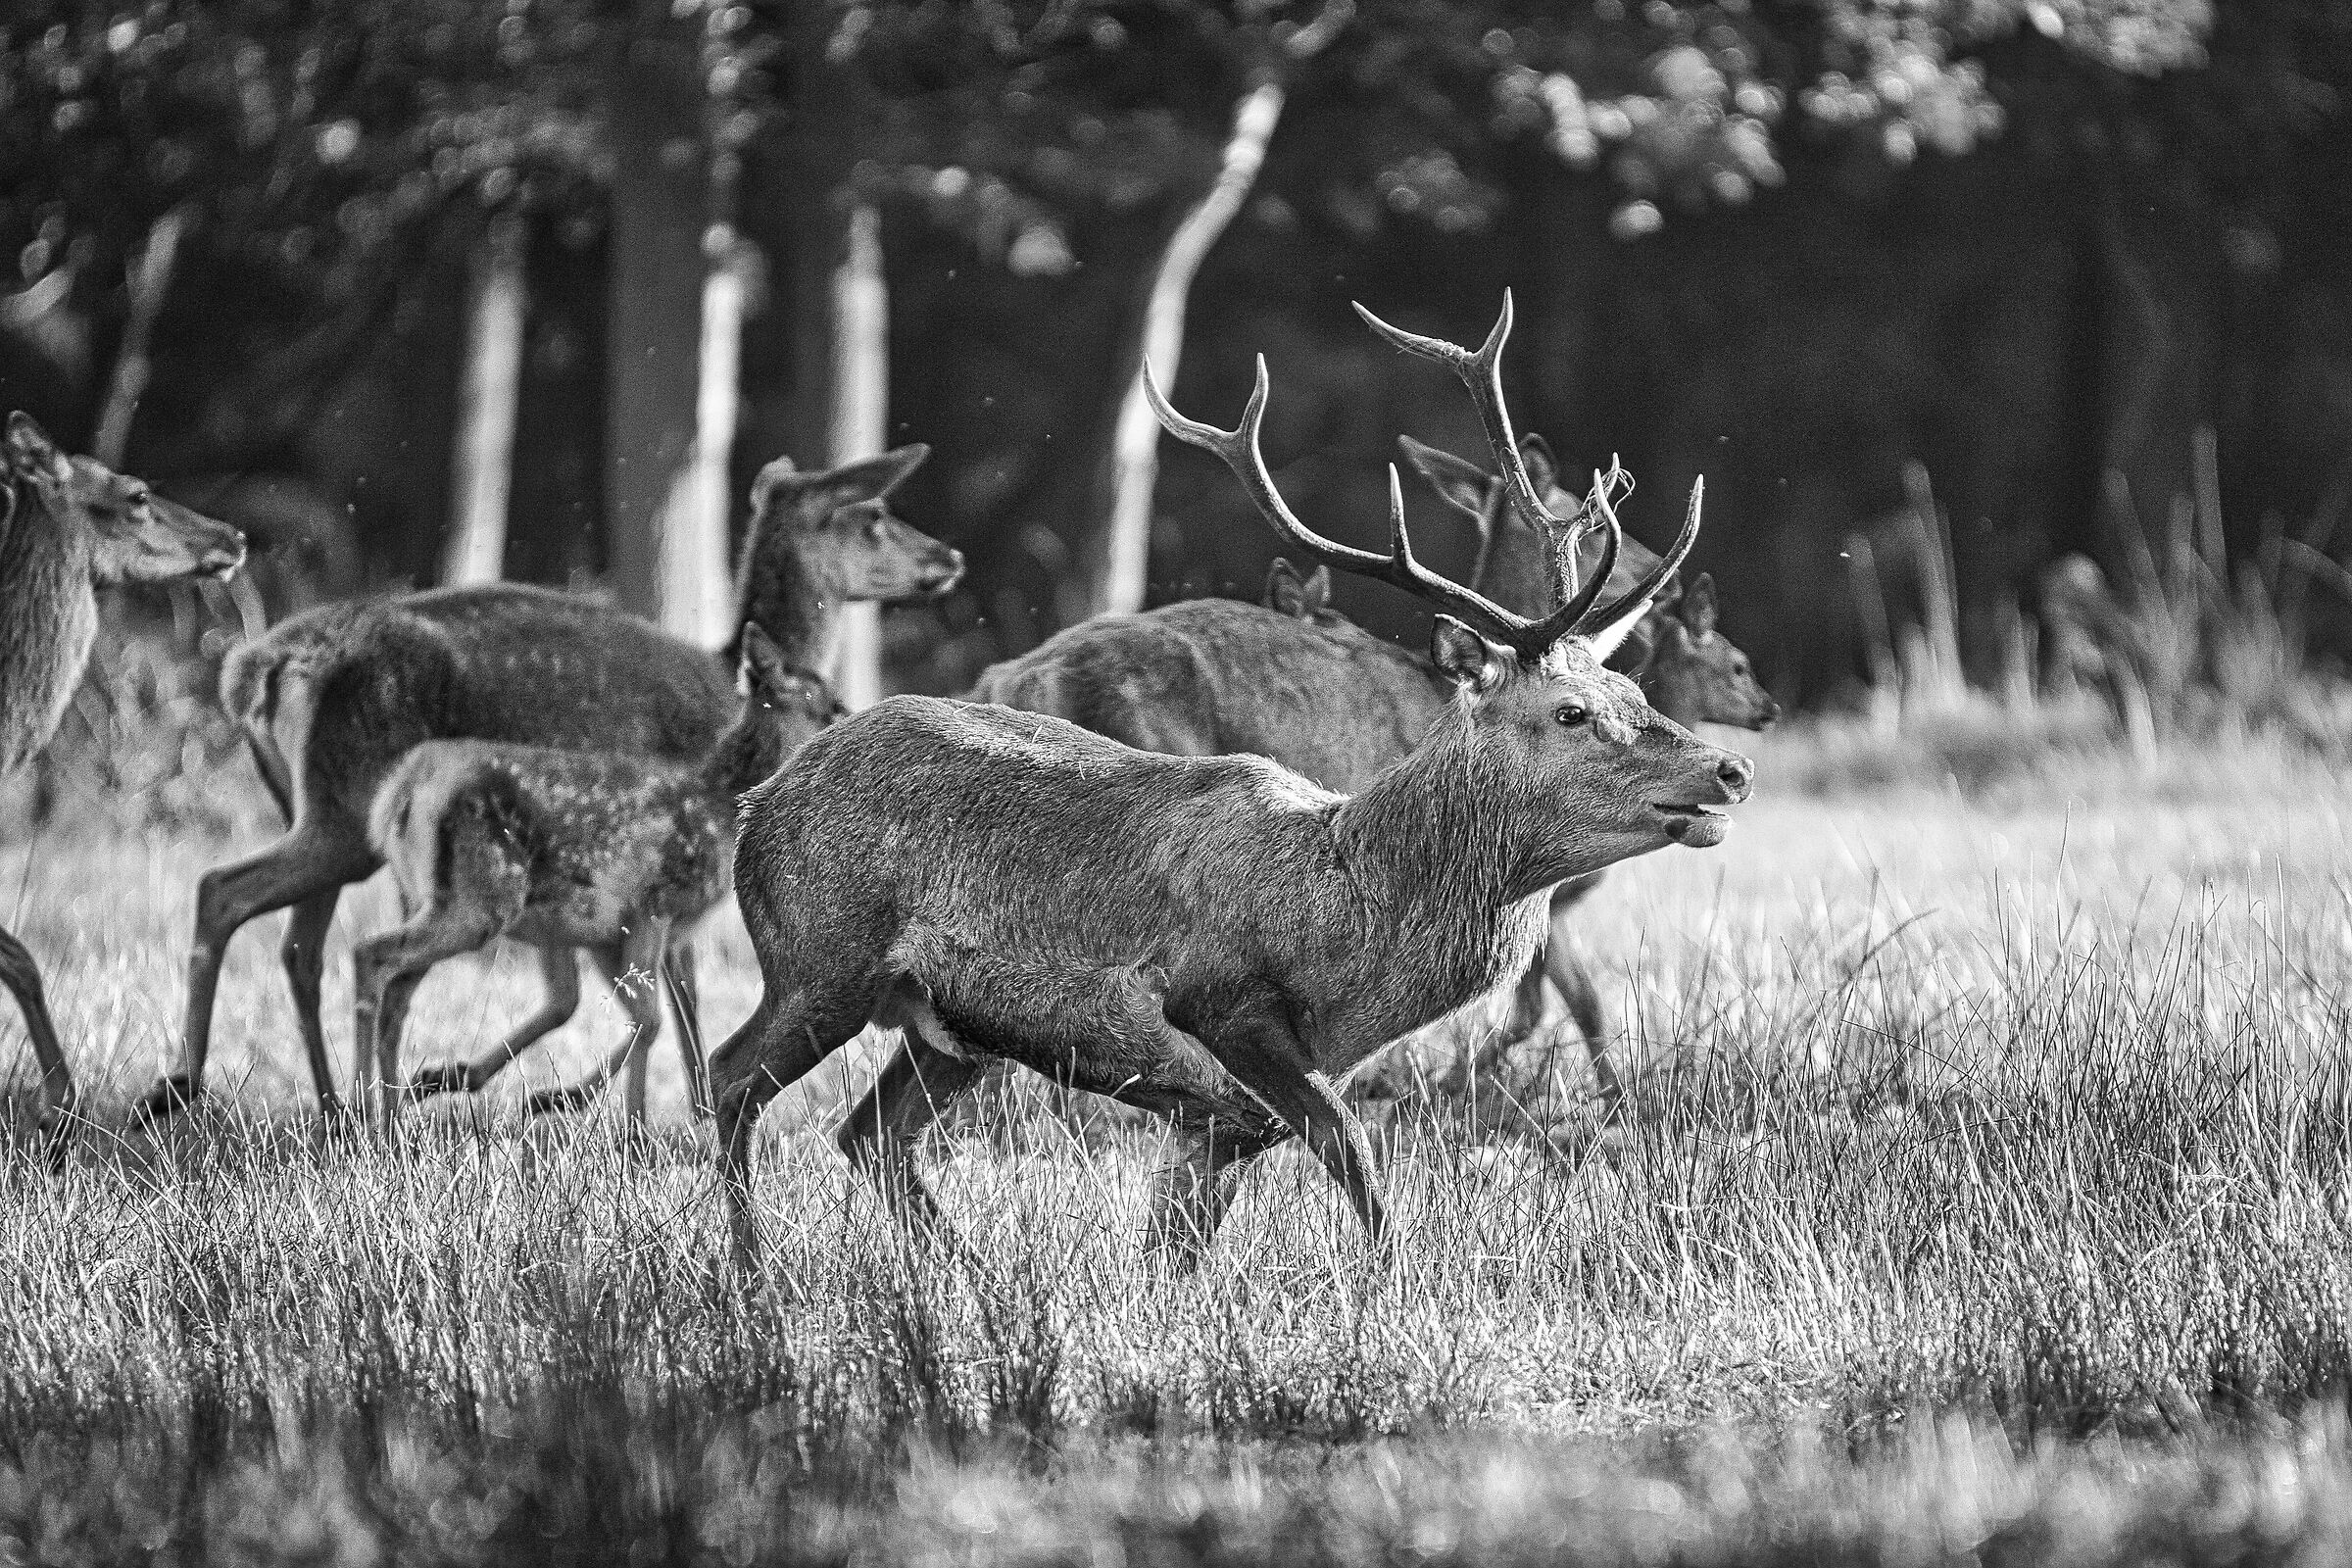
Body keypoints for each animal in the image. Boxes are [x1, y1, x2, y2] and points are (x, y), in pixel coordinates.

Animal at [355, 627, 838, 1132]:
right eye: (828, 705)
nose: (846, 723)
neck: (719, 808)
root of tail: (403, 789)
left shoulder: (602, 934)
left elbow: (610, 1010)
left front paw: (535, 1095)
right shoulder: (654, 905)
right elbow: (649, 1019)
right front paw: (621, 1123)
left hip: (440, 899)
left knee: (397, 987)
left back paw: (392, 1110)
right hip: (482, 900)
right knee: (372, 955)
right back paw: (369, 1112)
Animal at [709, 312, 1754, 1273]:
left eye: (1639, 695)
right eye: (1573, 711)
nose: (1729, 770)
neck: (1348, 938)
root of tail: (762, 803)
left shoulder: (1241, 1102)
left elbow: (1186, 1229)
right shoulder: (1222, 1003)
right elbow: (1351, 1148)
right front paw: (1391, 1289)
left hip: (945, 1026)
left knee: (869, 1133)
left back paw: (969, 1274)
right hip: (822, 955)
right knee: (731, 1078)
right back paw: (754, 1272)